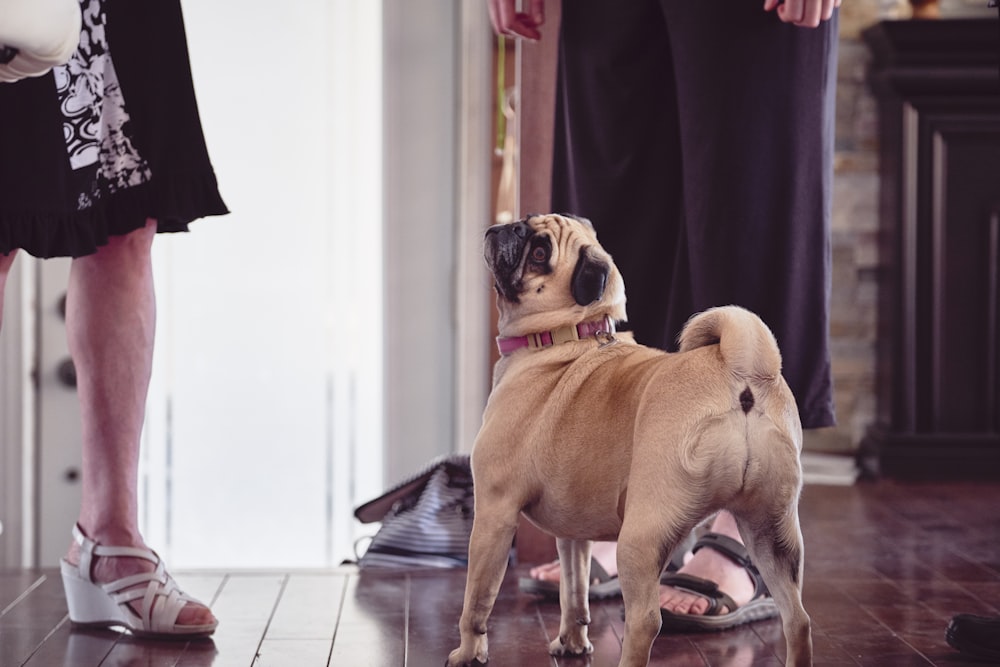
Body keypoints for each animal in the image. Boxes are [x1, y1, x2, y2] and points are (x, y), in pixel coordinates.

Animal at [448, 215, 812, 667]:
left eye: (540, 253)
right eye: (526, 227)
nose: (510, 227)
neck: (568, 335)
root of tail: (739, 369)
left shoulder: (494, 513)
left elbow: (477, 600)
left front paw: (468, 652)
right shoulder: (573, 535)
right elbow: (574, 593)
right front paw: (573, 643)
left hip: (640, 537)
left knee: (646, 621)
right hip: (771, 532)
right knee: (797, 619)